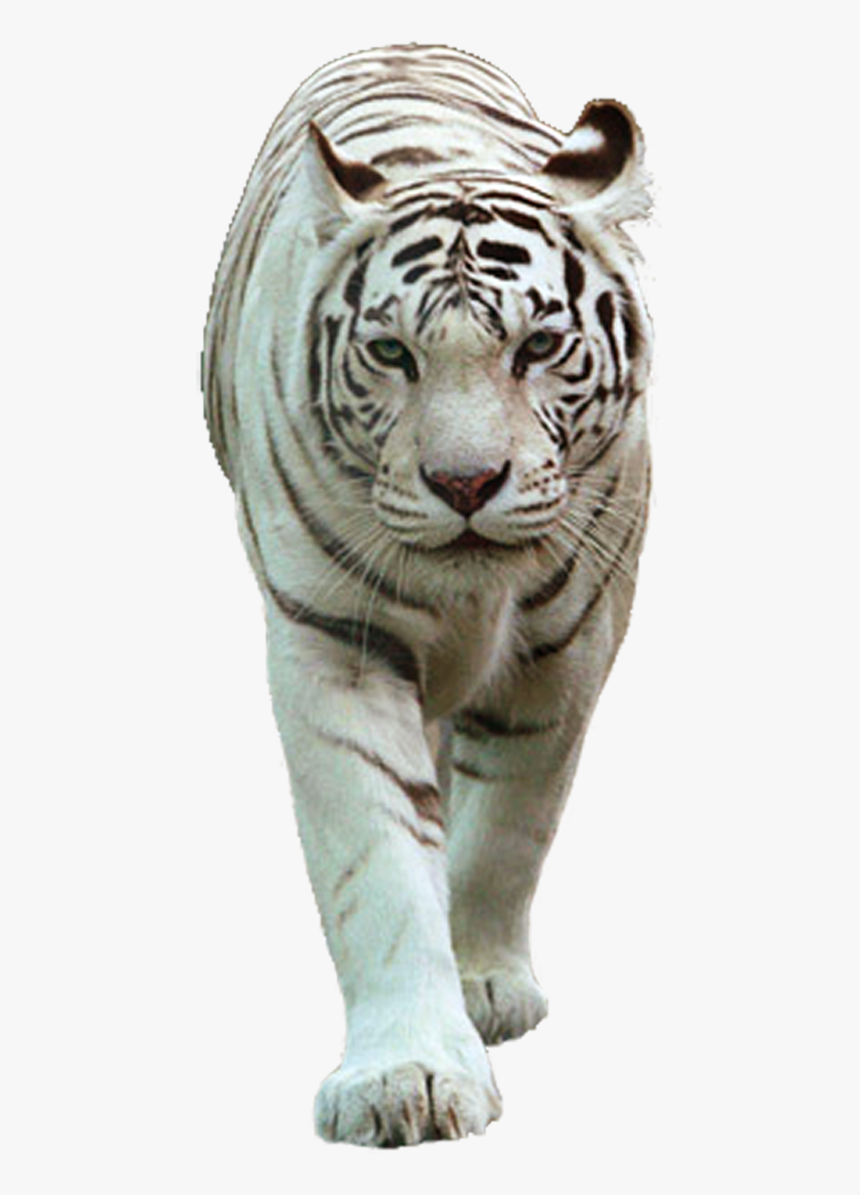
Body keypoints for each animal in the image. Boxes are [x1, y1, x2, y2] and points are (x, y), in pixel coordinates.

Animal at [203, 43, 652, 1147]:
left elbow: (507, 828)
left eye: (537, 348)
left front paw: (484, 983)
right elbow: (378, 858)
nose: (463, 482)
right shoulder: (333, 638)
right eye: (391, 353)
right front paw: (406, 1074)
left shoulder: (568, 643)